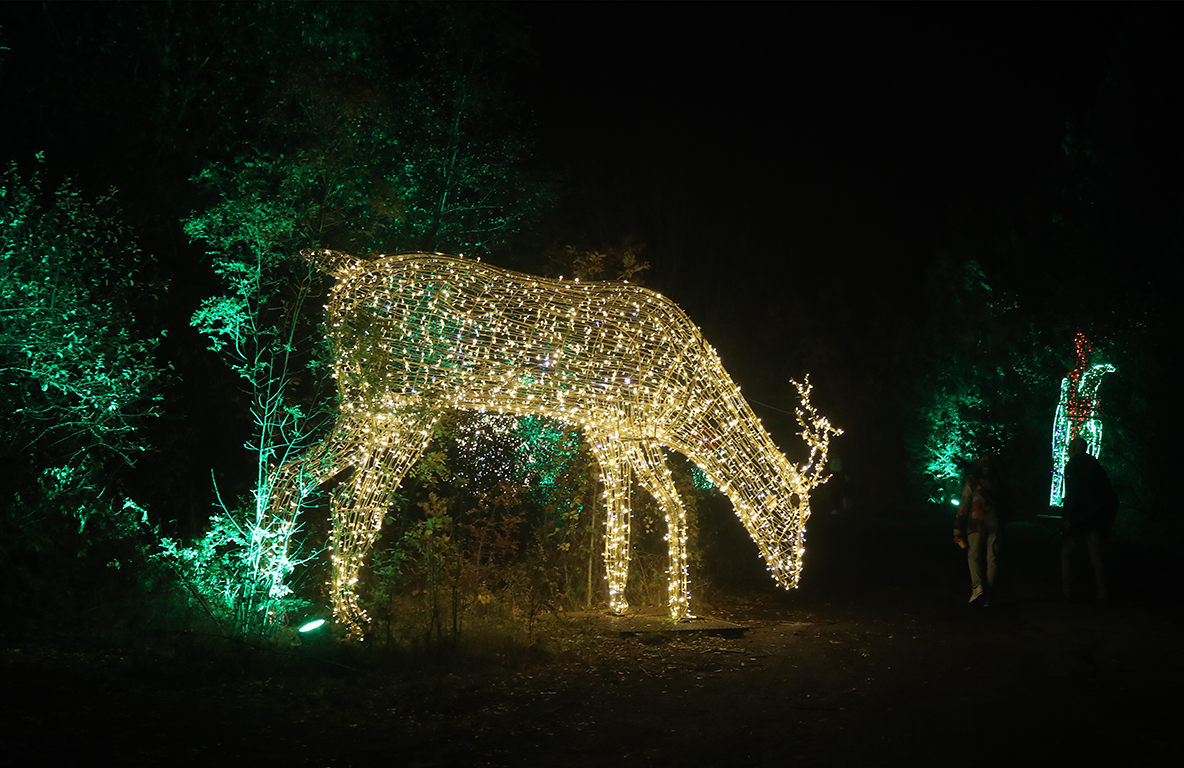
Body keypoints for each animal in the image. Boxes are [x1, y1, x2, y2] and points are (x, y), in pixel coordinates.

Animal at [268, 248, 843, 634]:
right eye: (796, 520)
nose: (792, 578)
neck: (687, 402)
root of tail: (342, 270)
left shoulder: (625, 431)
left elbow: (659, 507)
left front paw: (645, 605)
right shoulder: (614, 424)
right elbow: (639, 509)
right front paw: (653, 607)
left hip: (374, 408)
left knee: (303, 479)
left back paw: (277, 604)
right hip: (400, 406)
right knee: (349, 497)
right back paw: (343, 618)